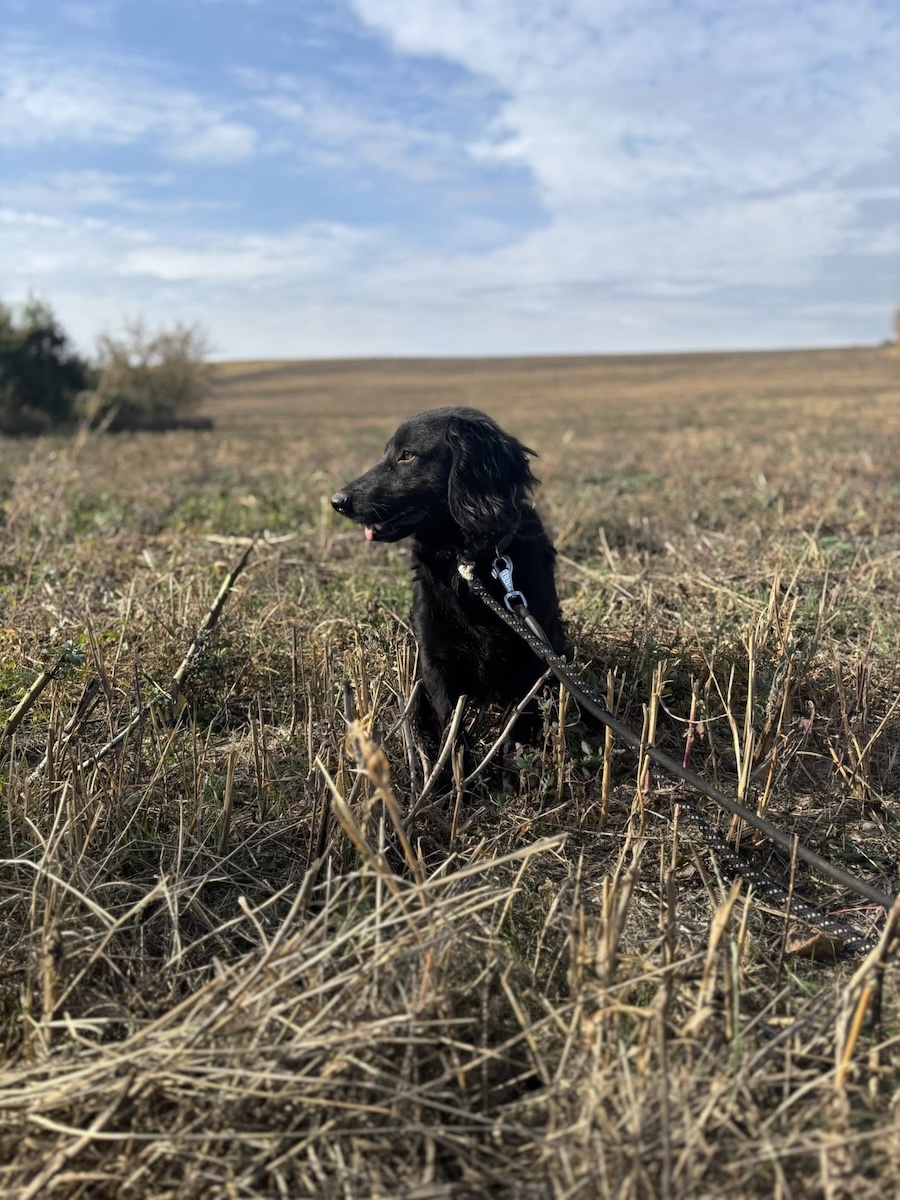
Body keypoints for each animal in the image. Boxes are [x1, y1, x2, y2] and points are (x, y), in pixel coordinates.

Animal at [331, 407, 566, 750]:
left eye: (408, 455)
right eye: (386, 453)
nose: (337, 501)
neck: (468, 562)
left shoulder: (532, 654)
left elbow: (518, 719)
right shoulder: (433, 658)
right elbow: (449, 722)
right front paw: (450, 762)